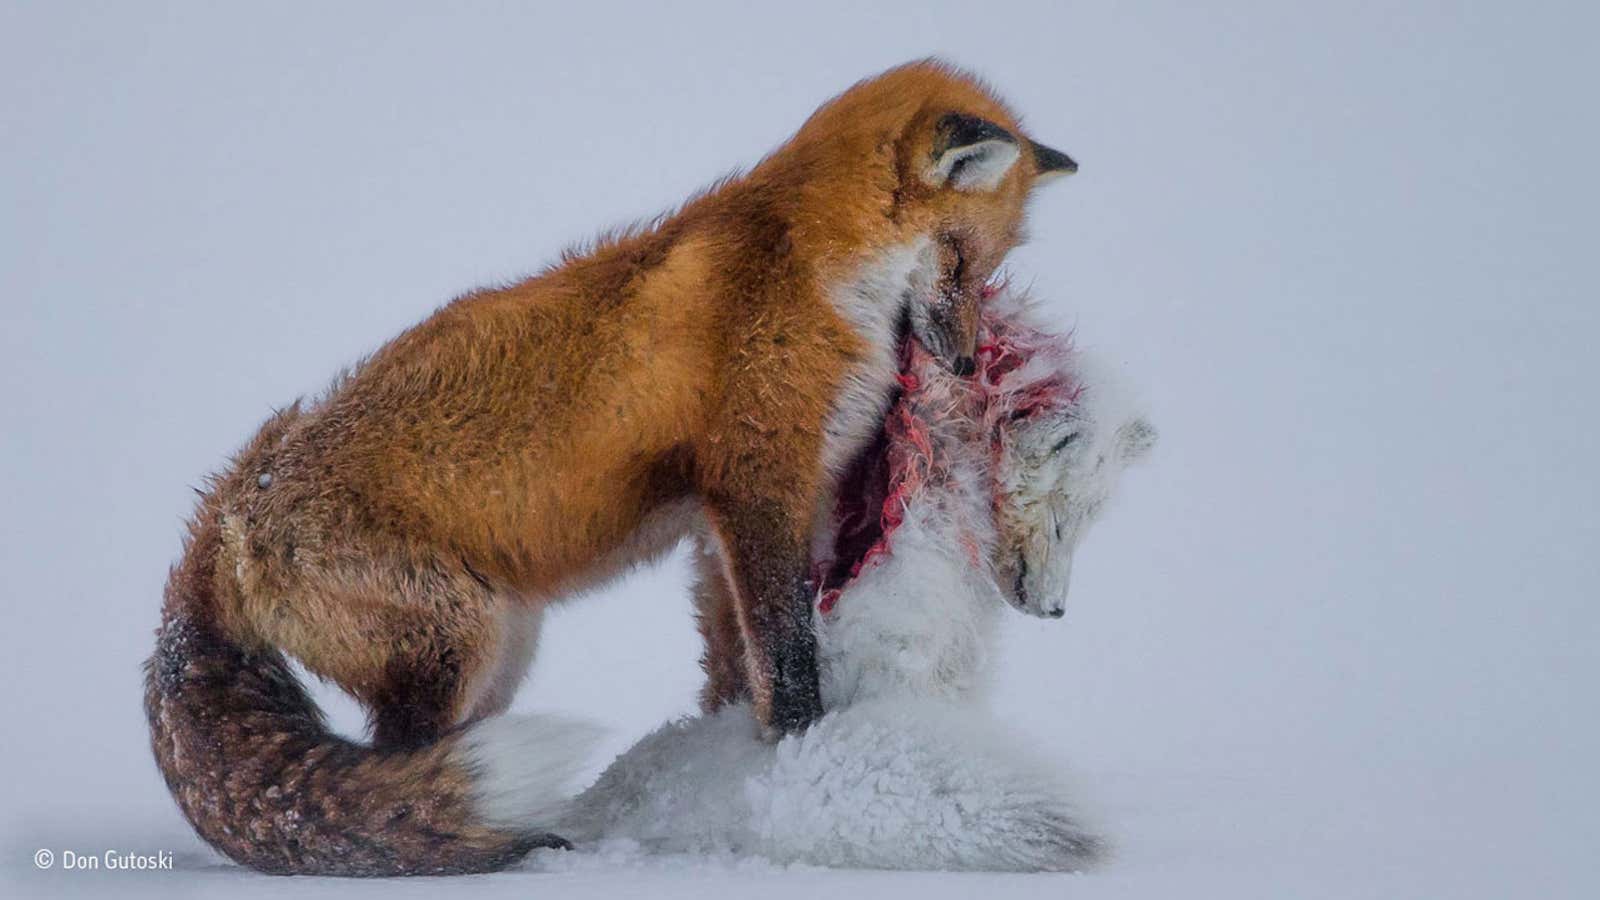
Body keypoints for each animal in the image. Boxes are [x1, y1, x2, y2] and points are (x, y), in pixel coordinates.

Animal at [147, 61, 1075, 877]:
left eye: (988, 268)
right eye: (960, 259)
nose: (963, 364)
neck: (811, 268)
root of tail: (225, 512)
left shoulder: (727, 524)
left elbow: (735, 667)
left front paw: (736, 769)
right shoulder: (757, 486)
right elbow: (785, 659)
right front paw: (801, 757)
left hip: (501, 652)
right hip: (461, 640)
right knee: (398, 783)